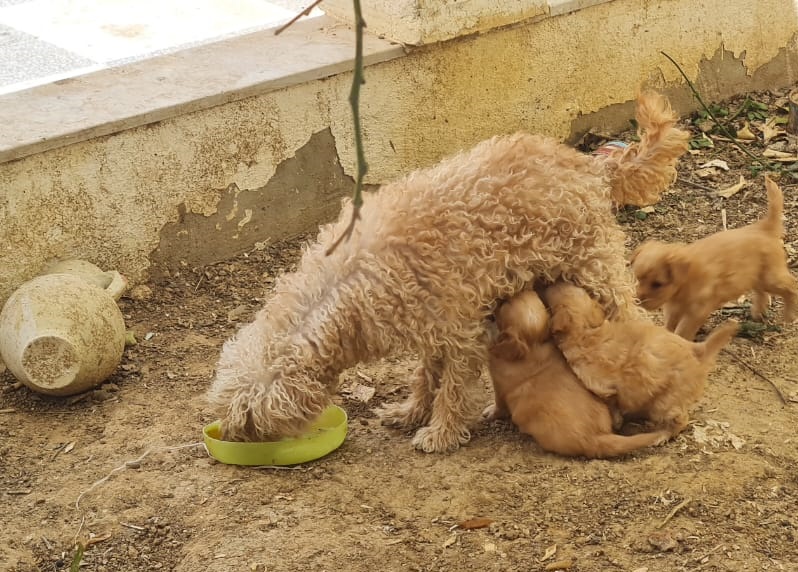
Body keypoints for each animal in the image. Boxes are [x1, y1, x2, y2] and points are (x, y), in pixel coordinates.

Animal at [488, 290, 668, 460]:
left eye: (505, 304)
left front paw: (491, 412)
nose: (502, 295)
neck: (533, 347)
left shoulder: (499, 388)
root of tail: (597, 438)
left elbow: (499, 405)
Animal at [548, 284, 740, 438]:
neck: (587, 333)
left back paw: (662, 435)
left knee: (680, 420)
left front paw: (617, 422)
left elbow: (613, 405)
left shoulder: (605, 388)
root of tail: (699, 350)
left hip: (666, 402)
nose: (551, 282)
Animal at [632, 175, 798, 340]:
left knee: (791, 286)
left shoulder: (696, 311)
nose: (637, 301)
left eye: (657, 284)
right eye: (637, 279)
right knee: (761, 291)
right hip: (755, 276)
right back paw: (758, 313)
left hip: (771, 277)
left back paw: (789, 316)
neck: (687, 279)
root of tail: (764, 227)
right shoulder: (673, 308)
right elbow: (669, 326)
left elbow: (683, 331)